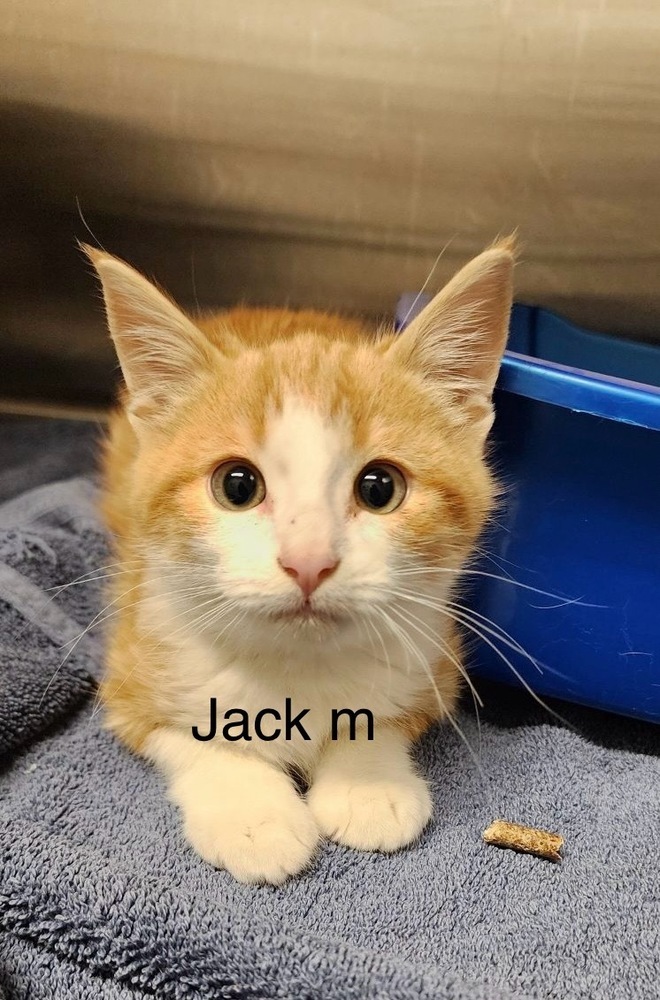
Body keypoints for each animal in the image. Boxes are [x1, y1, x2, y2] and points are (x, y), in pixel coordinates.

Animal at [89, 240, 516, 884]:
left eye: (380, 488)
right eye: (237, 485)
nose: (308, 561)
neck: (297, 670)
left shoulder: (435, 662)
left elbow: (384, 718)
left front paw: (368, 785)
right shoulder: (129, 668)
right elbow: (187, 735)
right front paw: (252, 814)